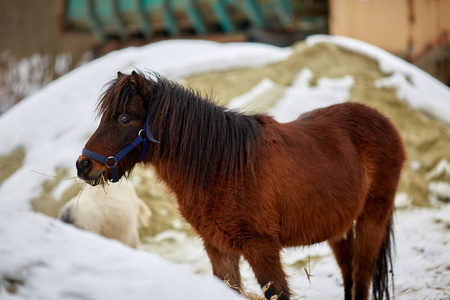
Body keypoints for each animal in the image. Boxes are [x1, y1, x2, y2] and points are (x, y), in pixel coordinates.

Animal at [76, 71, 404, 300]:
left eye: (124, 118)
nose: (83, 165)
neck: (223, 166)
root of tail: (383, 121)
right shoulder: (218, 248)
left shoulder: (262, 248)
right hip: (340, 229)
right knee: (350, 276)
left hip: (372, 221)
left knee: (361, 277)